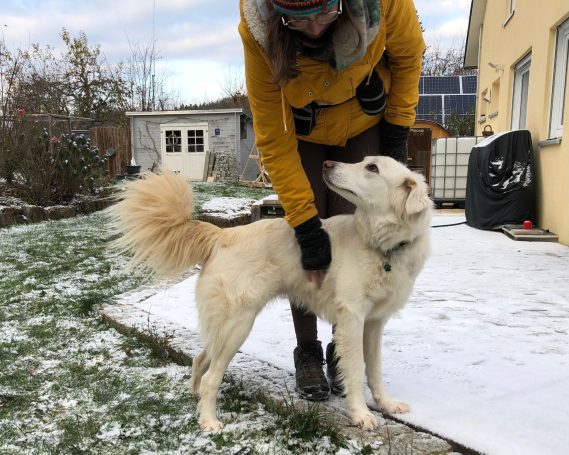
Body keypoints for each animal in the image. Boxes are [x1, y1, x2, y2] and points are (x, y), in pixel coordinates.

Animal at [107, 156, 430, 432]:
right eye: (365, 163)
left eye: (372, 167)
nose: (327, 163)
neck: (382, 246)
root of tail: (223, 235)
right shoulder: (352, 320)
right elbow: (356, 369)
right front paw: (361, 414)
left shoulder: (374, 323)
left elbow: (374, 369)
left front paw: (386, 404)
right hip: (238, 326)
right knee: (212, 376)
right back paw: (208, 421)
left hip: (224, 328)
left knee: (200, 359)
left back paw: (196, 400)